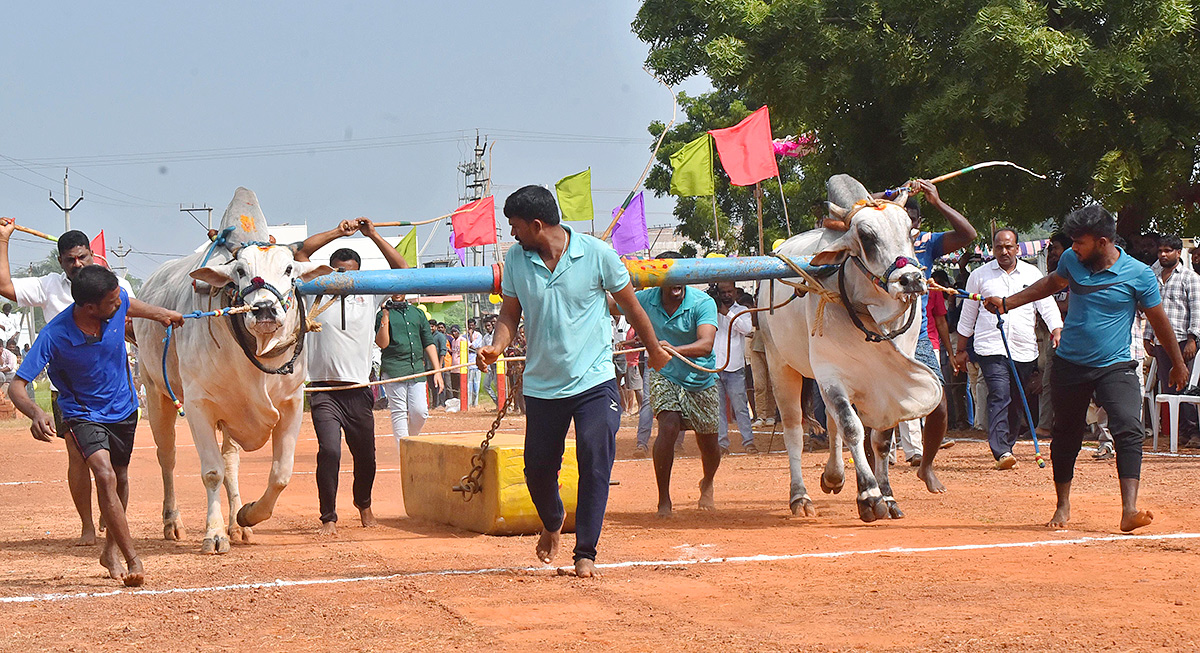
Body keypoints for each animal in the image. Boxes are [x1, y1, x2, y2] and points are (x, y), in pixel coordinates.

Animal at [135, 188, 328, 552]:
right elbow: (212, 472)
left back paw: (238, 526)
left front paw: (248, 515)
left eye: (289, 269)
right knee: (167, 456)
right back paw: (172, 522)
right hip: (155, 393)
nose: (264, 309)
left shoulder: (293, 404)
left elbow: (280, 474)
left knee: (231, 461)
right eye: (239, 270)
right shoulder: (198, 406)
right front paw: (213, 534)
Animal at [758, 176, 945, 523]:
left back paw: (833, 476)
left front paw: (888, 495)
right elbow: (852, 428)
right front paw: (869, 495)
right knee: (794, 430)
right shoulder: (831, 375)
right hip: (780, 365)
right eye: (867, 237)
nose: (911, 279)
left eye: (909, 230)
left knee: (831, 425)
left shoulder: (888, 384)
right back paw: (800, 496)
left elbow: (880, 439)